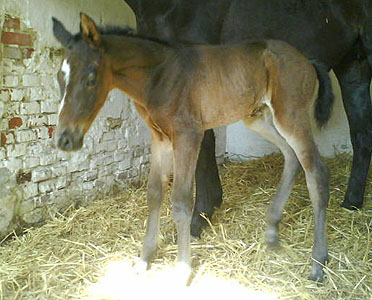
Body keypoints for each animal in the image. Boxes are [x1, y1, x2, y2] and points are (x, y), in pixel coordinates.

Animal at [52, 13, 332, 282]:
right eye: (59, 77)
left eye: (90, 78)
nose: (65, 139)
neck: (159, 76)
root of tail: (307, 61)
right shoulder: (159, 138)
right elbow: (154, 194)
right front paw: (144, 259)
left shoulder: (188, 134)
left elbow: (181, 200)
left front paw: (182, 268)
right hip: (258, 117)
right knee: (290, 156)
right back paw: (273, 230)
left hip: (291, 116)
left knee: (316, 172)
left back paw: (317, 263)